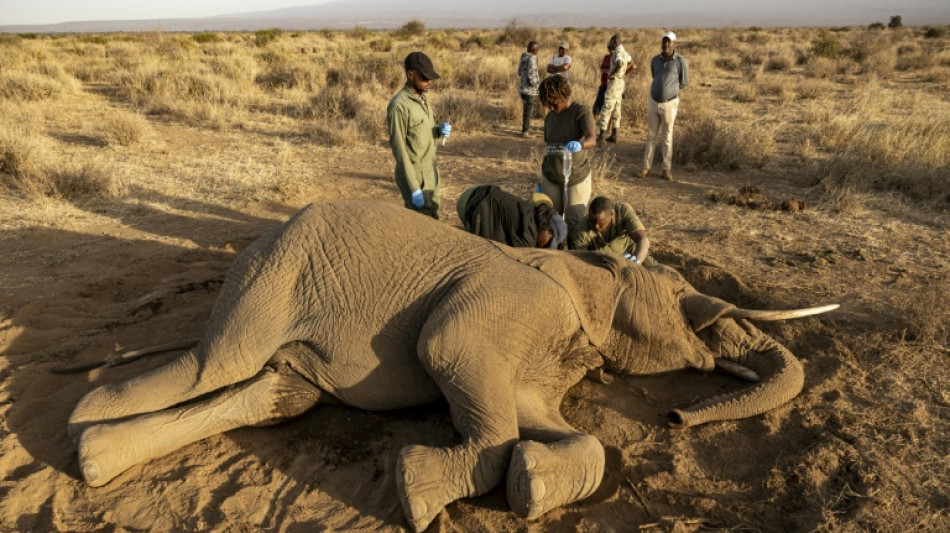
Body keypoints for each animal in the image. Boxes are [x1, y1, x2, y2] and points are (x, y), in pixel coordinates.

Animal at [68, 201, 837, 532]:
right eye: (681, 296)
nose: (677, 414)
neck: (581, 268)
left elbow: (555, 427)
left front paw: (531, 483)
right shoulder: (509, 305)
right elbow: (448, 350)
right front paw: (417, 493)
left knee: (273, 395)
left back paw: (96, 458)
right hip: (273, 274)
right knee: (213, 363)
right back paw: (82, 417)